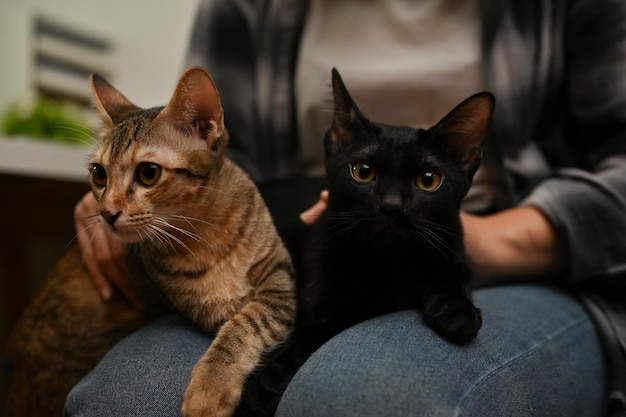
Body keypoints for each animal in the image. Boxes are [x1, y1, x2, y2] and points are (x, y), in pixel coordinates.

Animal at [4, 66, 298, 416]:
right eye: (98, 174)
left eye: (148, 173)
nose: (106, 213)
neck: (207, 232)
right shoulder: (210, 309)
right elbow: (235, 323)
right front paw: (211, 388)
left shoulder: (279, 281)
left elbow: (247, 323)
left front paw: (210, 387)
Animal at [232, 69, 490, 416]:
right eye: (363, 172)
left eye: (428, 180)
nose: (392, 206)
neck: (388, 264)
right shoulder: (316, 303)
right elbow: (305, 340)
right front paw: (264, 387)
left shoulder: (454, 246)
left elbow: (456, 273)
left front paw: (457, 310)